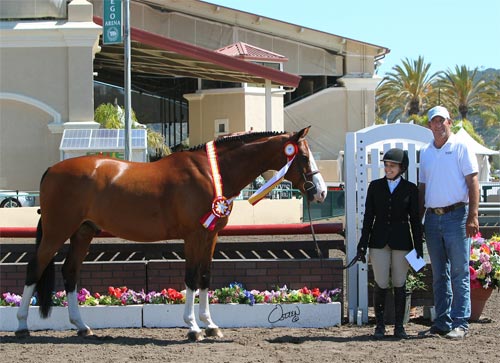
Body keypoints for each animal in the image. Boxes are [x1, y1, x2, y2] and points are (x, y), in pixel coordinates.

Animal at [15, 126, 326, 342]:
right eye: (304, 156)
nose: (321, 192)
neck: (211, 172)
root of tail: (52, 169)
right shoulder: (193, 236)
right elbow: (190, 278)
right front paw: (192, 328)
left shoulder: (210, 236)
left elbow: (205, 278)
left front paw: (210, 326)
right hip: (56, 232)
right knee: (34, 268)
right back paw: (21, 326)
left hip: (83, 233)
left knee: (70, 272)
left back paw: (82, 327)